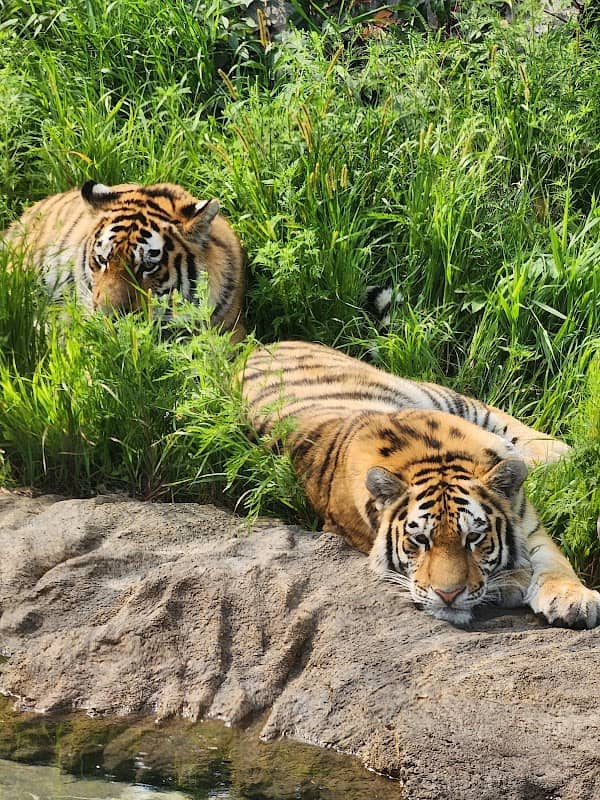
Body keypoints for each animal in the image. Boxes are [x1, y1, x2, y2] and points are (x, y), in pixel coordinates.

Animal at [240, 340, 600, 628]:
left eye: (474, 537)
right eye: (419, 540)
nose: (448, 595)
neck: (434, 458)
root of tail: (255, 345)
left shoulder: (527, 521)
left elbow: (554, 562)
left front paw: (575, 600)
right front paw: (513, 581)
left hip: (437, 394)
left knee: (506, 420)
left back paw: (570, 455)